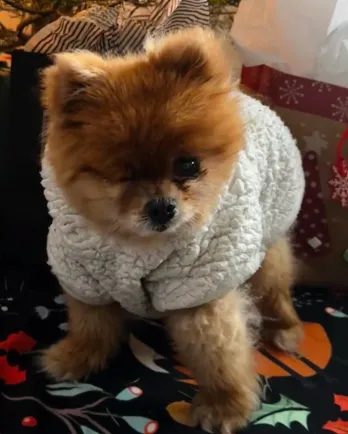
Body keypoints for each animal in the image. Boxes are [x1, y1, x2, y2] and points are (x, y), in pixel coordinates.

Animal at [39, 28, 304, 434]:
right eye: (123, 175)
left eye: (188, 165)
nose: (162, 206)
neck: (133, 246)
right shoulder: (84, 273)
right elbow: (90, 323)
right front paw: (77, 355)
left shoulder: (197, 286)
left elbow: (218, 352)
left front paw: (224, 404)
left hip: (265, 250)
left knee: (275, 289)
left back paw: (285, 328)